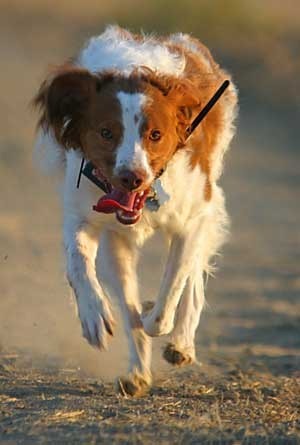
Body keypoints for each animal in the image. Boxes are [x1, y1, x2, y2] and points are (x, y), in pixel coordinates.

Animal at [33, 25, 239, 396]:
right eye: (106, 132)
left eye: (155, 134)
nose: (132, 177)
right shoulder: (90, 218)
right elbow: (80, 265)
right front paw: (95, 317)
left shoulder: (193, 219)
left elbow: (171, 290)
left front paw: (157, 318)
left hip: (206, 206)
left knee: (193, 277)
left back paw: (181, 342)